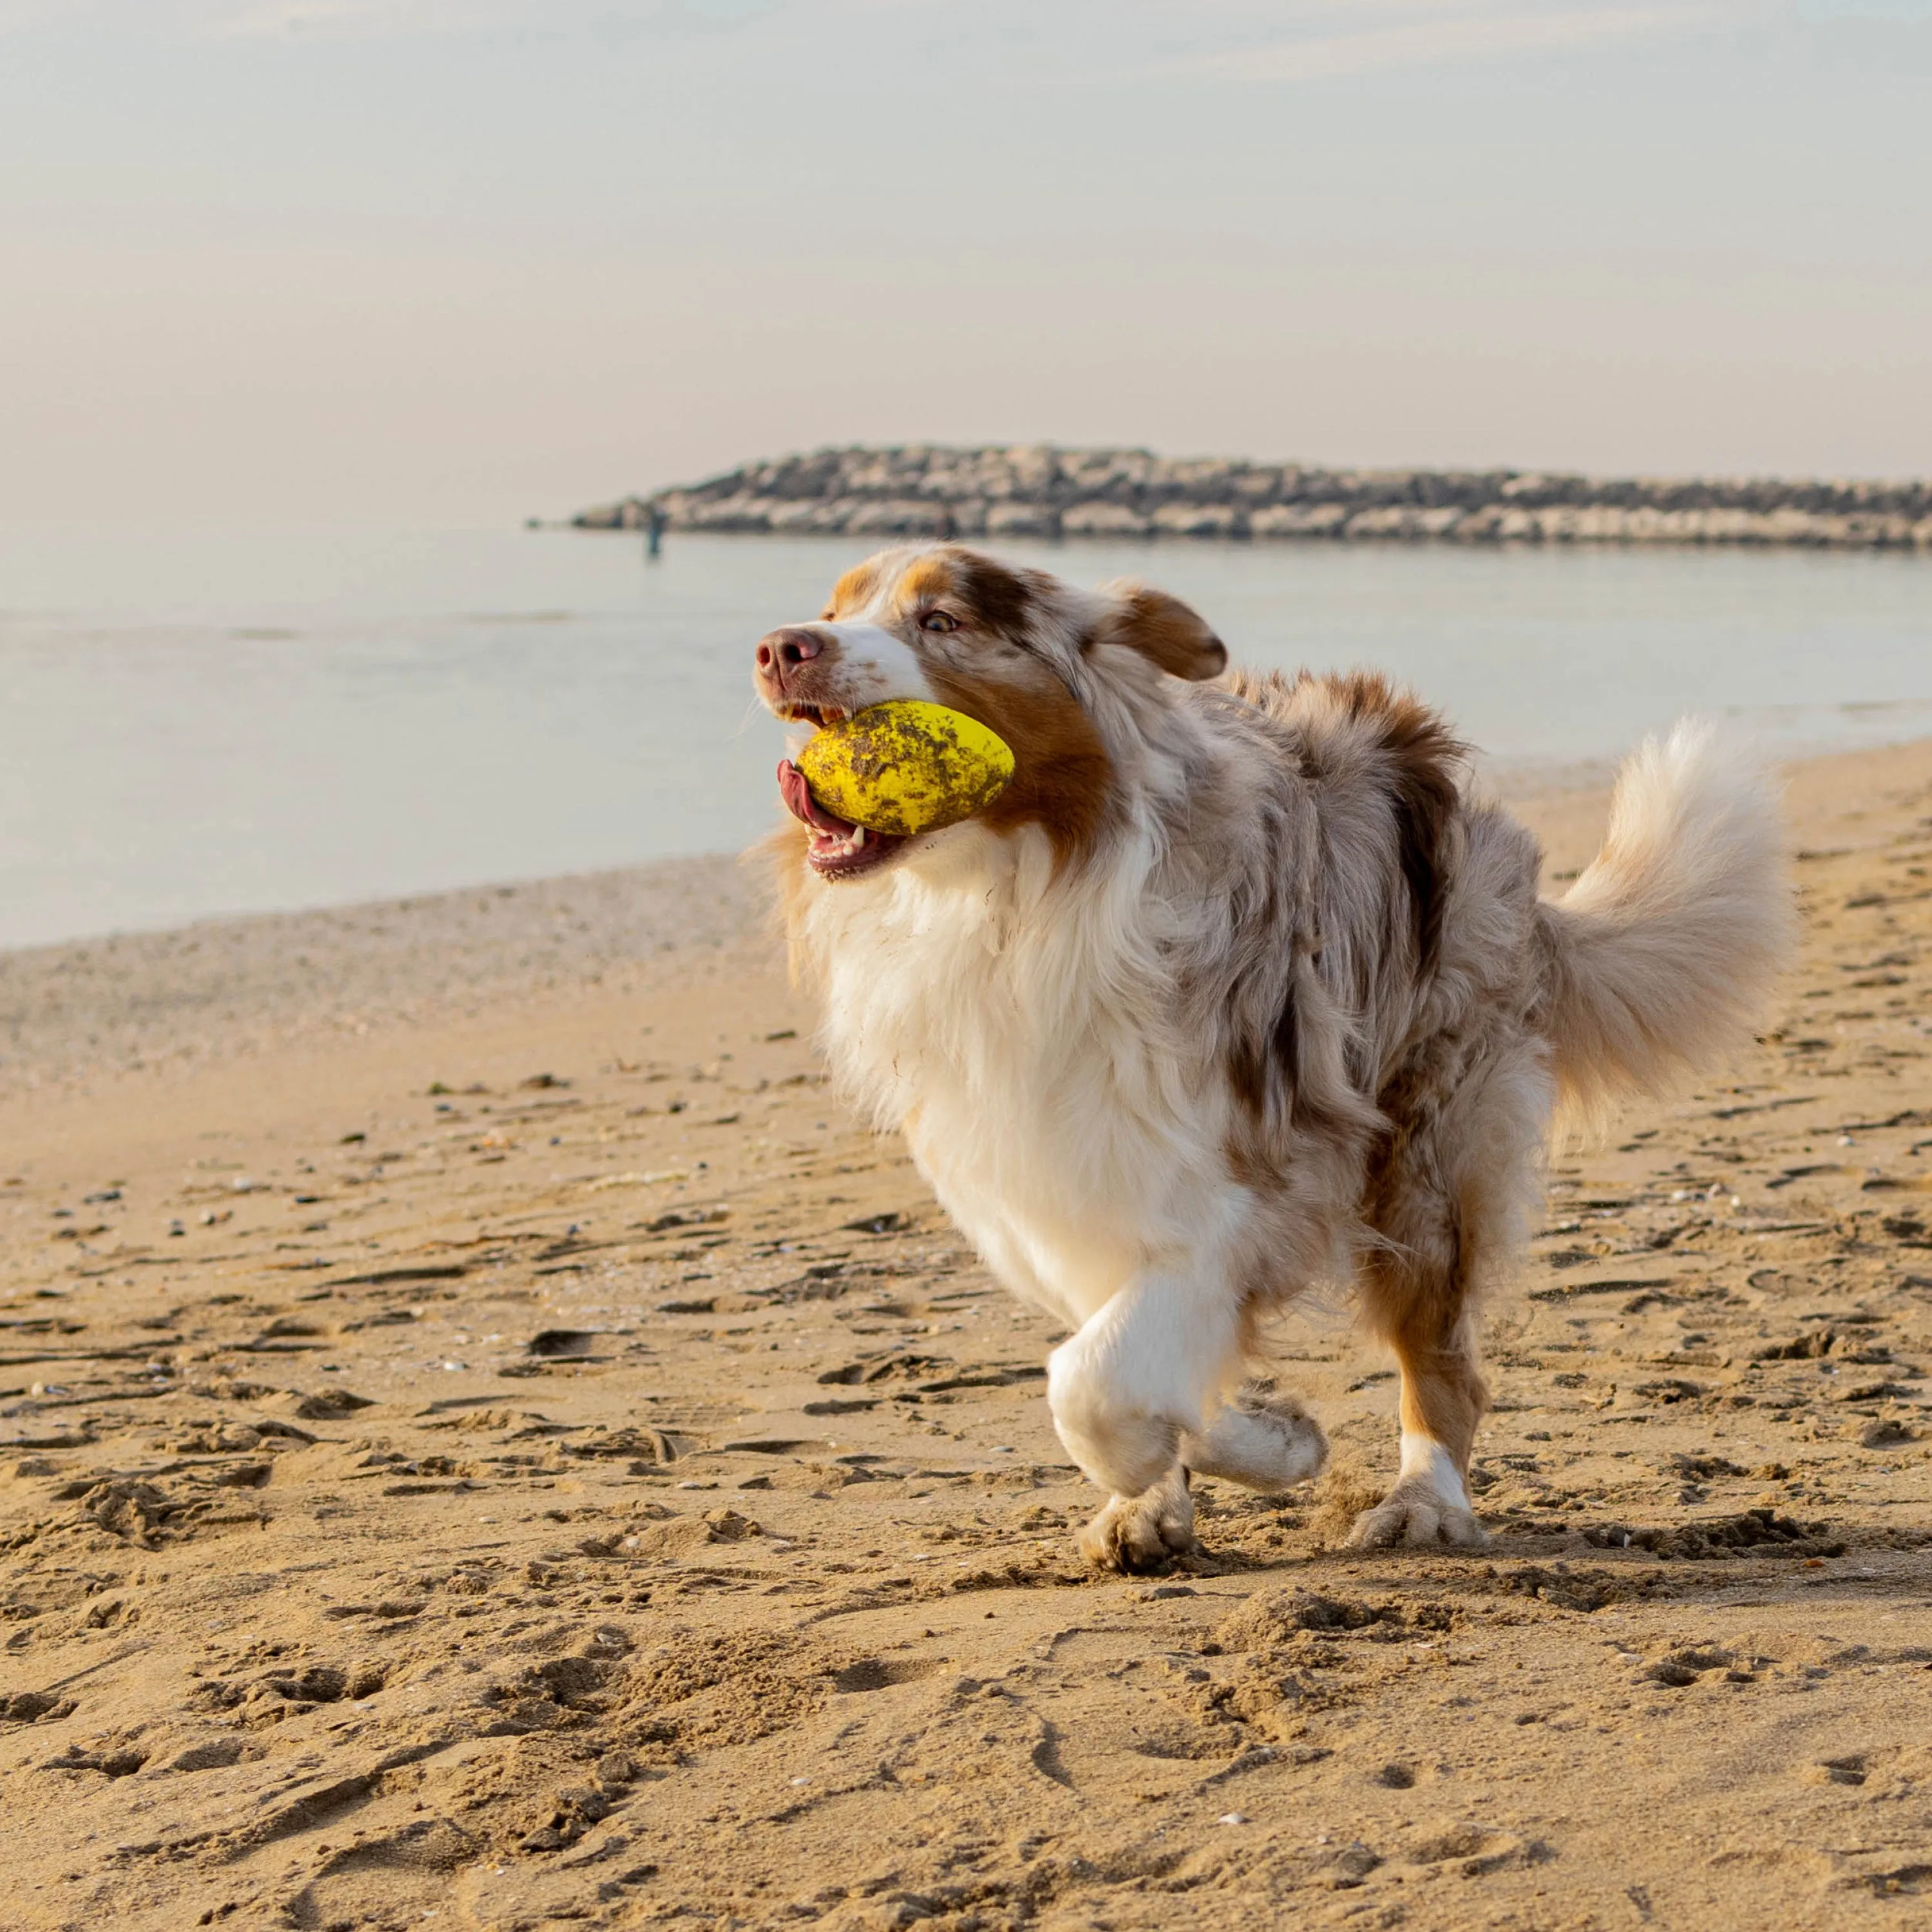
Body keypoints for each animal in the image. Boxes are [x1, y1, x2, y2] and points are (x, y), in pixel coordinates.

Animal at [746, 545, 1785, 1569]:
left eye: (942, 621)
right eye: (835, 607)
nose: (780, 647)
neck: (1012, 899)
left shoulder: (1263, 1168)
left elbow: (1091, 1381)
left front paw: (1252, 1448)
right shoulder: (1058, 1175)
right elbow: (1136, 1355)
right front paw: (1220, 1461)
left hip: (1427, 1145)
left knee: (1442, 1355)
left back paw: (1425, 1500)